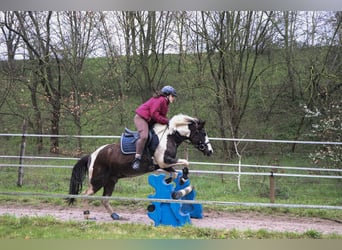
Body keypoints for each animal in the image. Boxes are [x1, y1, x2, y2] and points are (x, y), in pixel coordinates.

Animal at [65, 114, 212, 220]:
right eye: (203, 133)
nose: (210, 151)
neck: (170, 137)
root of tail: (92, 155)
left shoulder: (163, 164)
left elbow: (175, 172)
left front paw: (174, 181)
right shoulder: (164, 161)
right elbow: (185, 163)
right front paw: (182, 178)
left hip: (111, 180)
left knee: (105, 199)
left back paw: (115, 216)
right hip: (98, 181)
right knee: (86, 195)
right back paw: (87, 215)